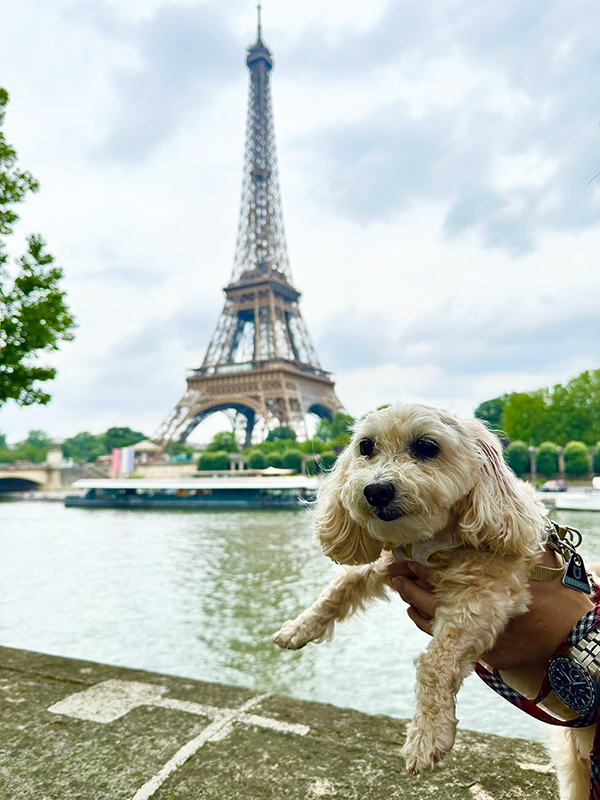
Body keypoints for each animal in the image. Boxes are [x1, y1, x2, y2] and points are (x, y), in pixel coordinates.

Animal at [274, 404, 592, 796]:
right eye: (365, 447)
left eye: (426, 446)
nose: (376, 490)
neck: (431, 542)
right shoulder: (390, 560)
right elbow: (338, 588)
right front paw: (298, 628)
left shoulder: (482, 600)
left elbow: (434, 663)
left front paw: (426, 734)